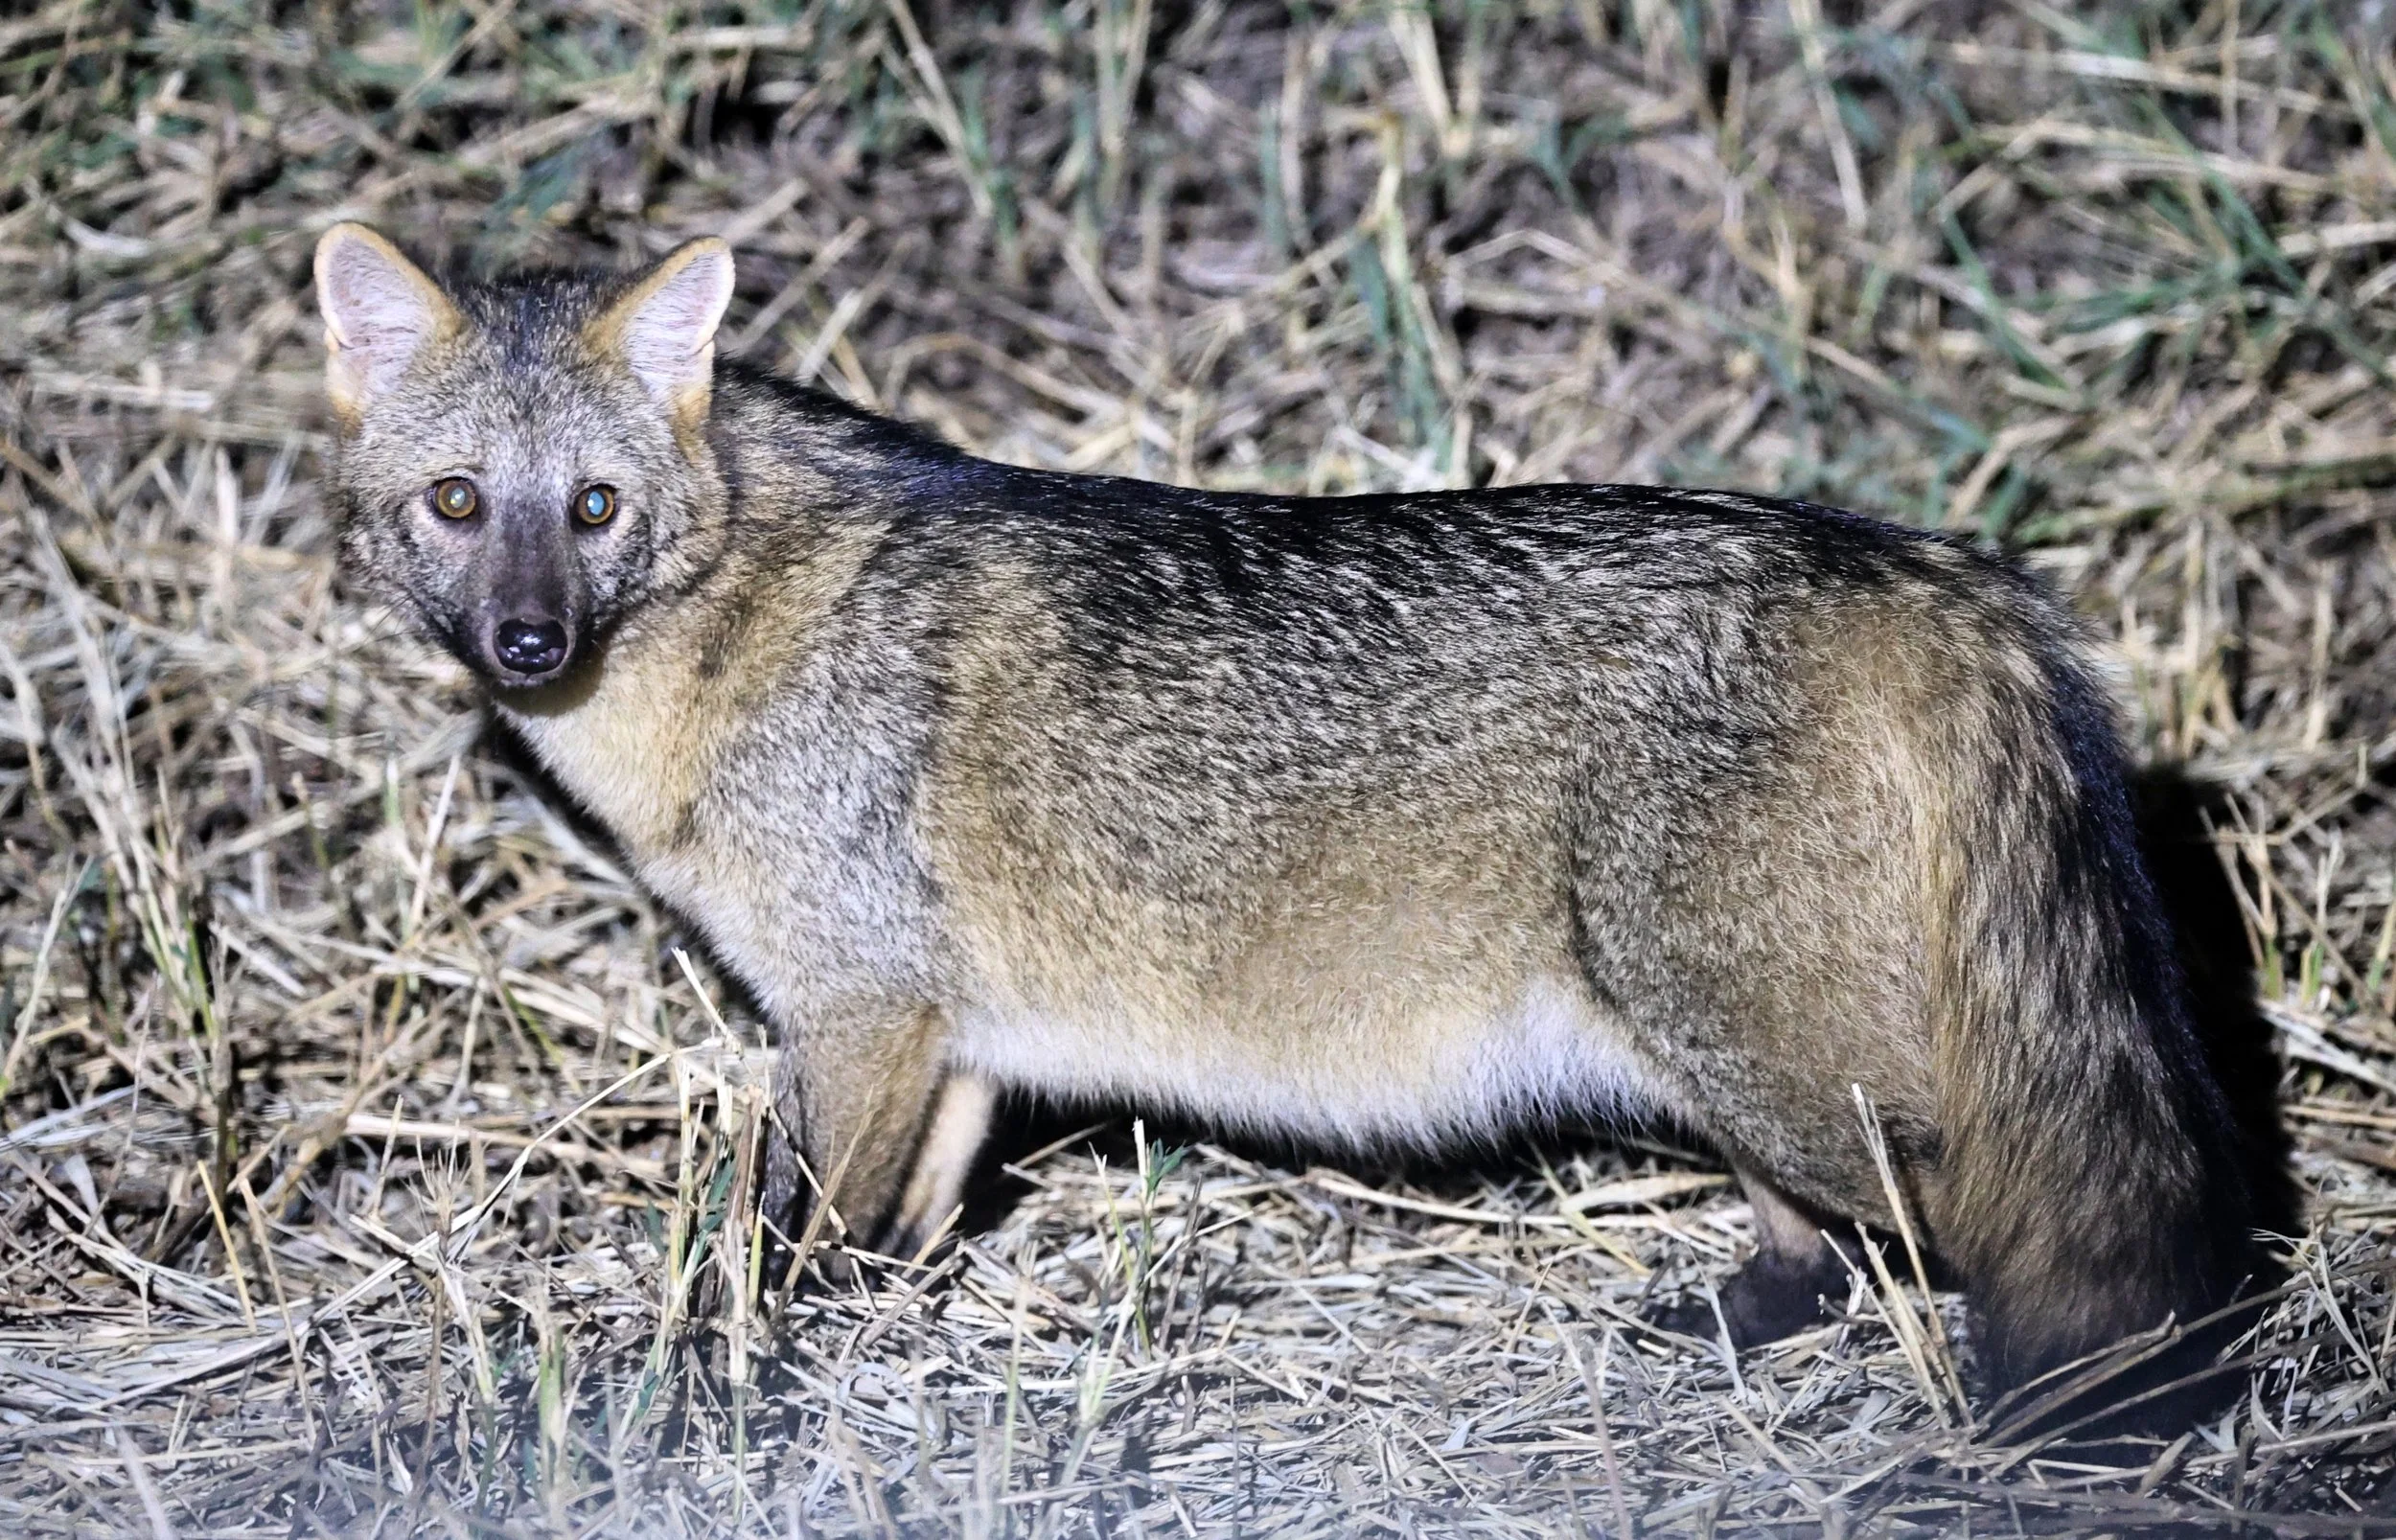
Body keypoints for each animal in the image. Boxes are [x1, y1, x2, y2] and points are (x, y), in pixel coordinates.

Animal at [315, 222, 2266, 1428]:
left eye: (592, 508)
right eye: (459, 504)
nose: (527, 643)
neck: (734, 633)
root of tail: (1919, 562)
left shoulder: (856, 1015)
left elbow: (774, 1247)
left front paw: (724, 1382)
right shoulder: (948, 1048)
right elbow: (894, 1235)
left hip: (1790, 1067)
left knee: (1982, 1234)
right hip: (1736, 1065)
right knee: (1827, 1240)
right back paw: (1734, 1318)